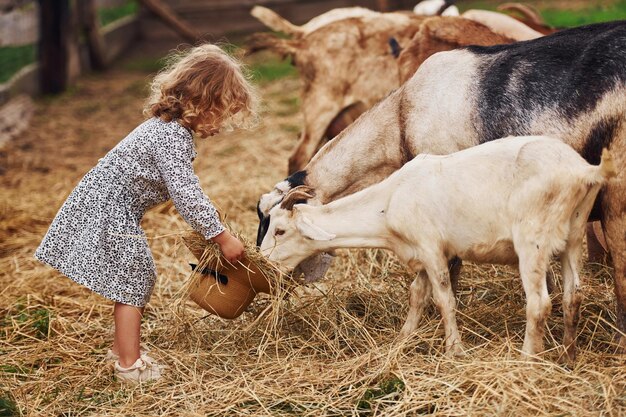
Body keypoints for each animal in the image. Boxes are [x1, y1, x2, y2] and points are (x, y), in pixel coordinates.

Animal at [260, 136, 616, 358]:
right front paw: (402, 339)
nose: (263, 263)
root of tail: (583, 170)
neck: (389, 201)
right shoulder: (422, 253)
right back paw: (568, 355)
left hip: (533, 241)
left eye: (279, 230)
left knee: (540, 303)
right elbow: (417, 295)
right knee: (573, 296)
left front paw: (454, 349)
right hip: (573, 236)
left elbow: (444, 299)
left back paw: (527, 358)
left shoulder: (432, 249)